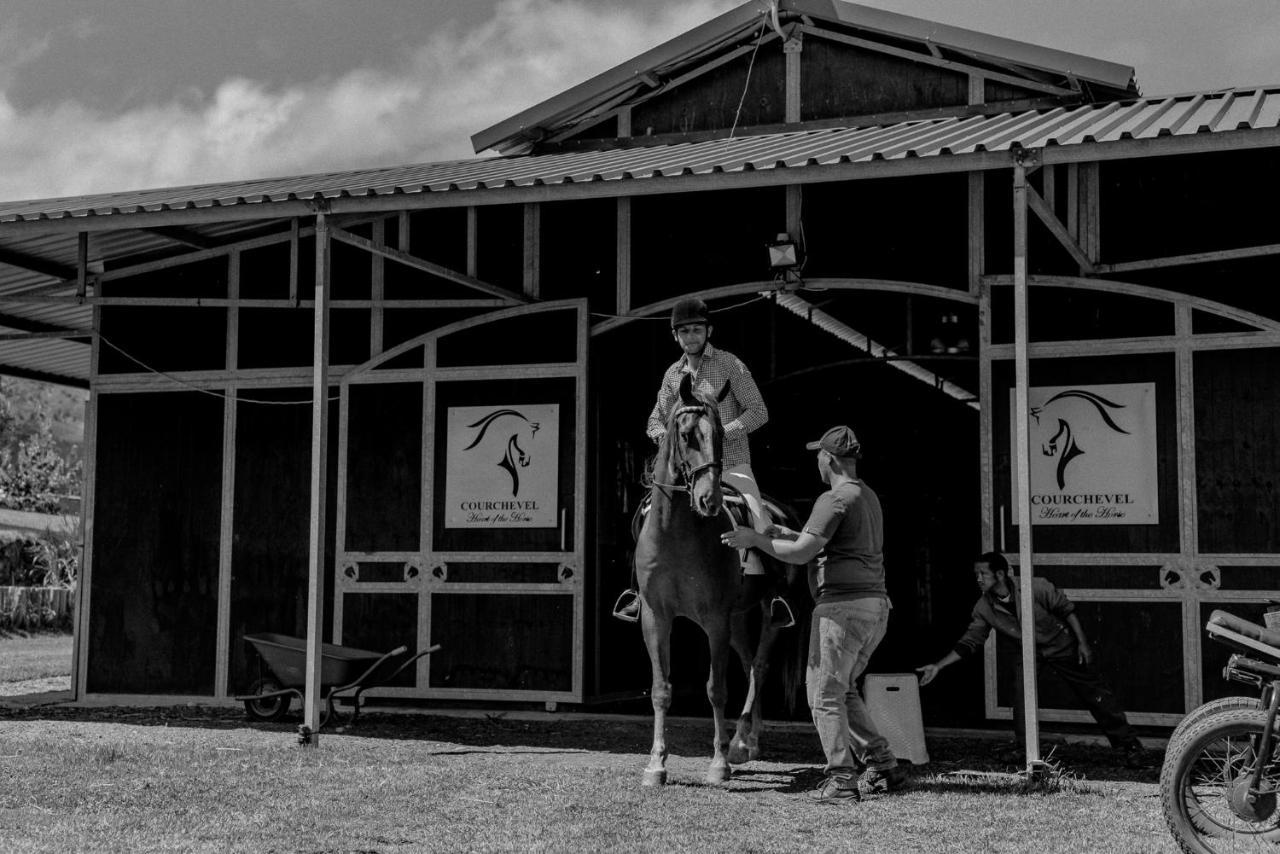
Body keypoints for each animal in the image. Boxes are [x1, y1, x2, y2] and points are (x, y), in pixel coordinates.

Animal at [632, 371, 798, 783]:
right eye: (686, 434)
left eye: (721, 434)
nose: (709, 501)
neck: (676, 534)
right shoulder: (655, 617)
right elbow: (661, 689)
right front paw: (656, 764)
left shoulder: (714, 620)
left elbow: (716, 689)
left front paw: (719, 762)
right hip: (737, 618)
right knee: (748, 662)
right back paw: (747, 741)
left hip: (766, 613)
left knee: (759, 665)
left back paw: (740, 744)